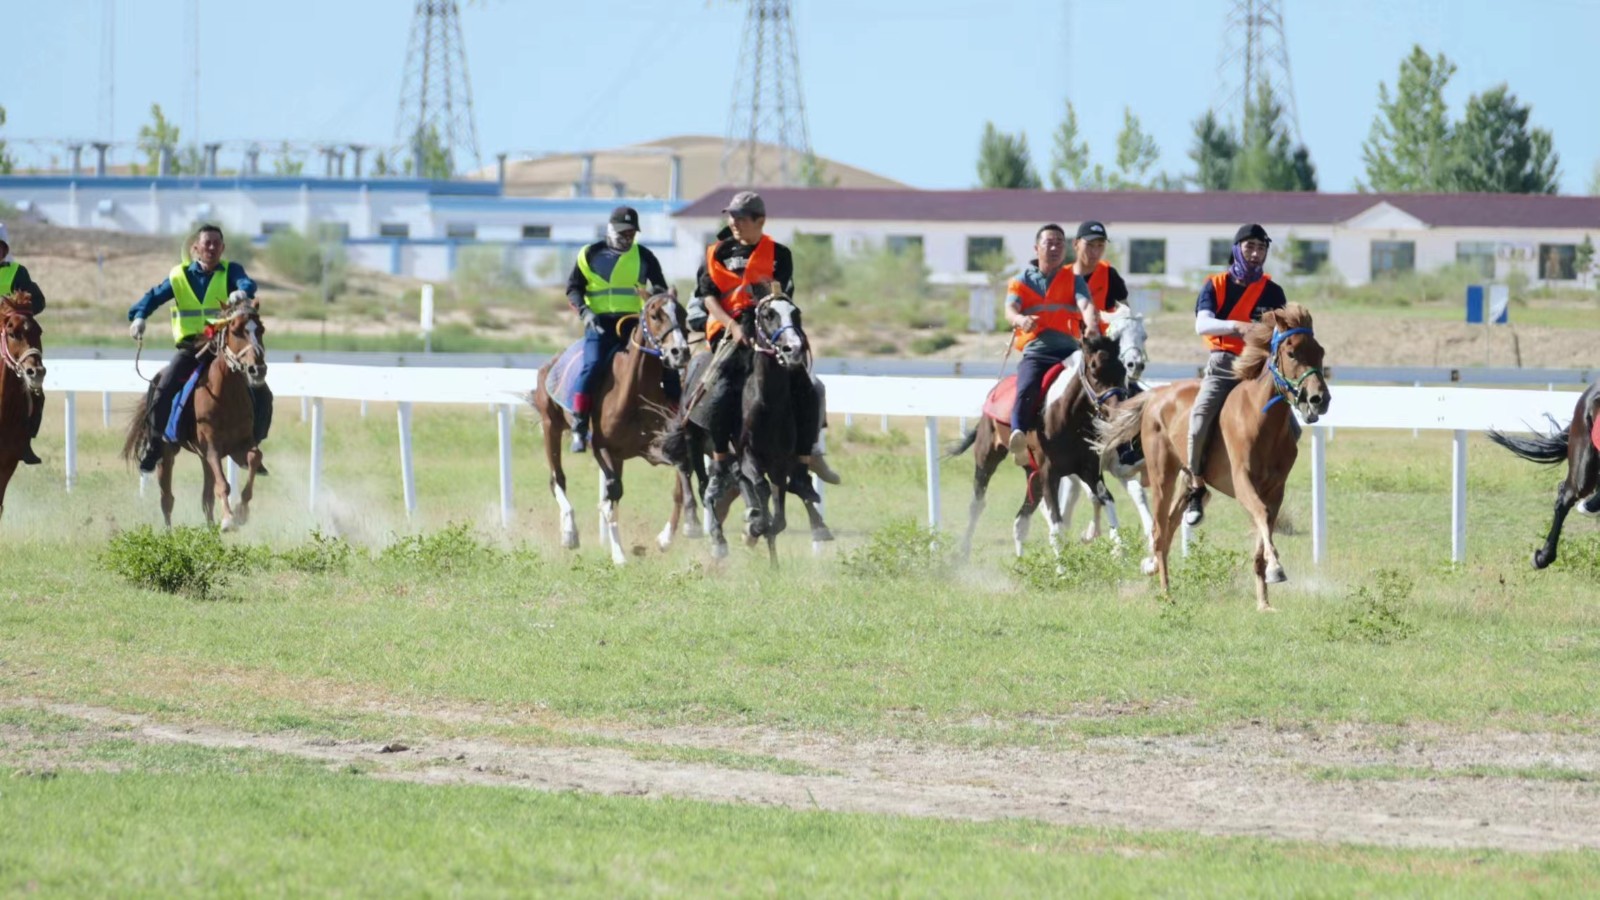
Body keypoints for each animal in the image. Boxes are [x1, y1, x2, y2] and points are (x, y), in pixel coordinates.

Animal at [531, 283, 694, 560]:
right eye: (654, 315)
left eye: (682, 314)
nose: (679, 352)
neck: (634, 391)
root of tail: (551, 362)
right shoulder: (601, 447)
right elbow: (613, 493)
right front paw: (619, 556)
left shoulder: (656, 447)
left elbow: (680, 480)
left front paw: (667, 537)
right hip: (550, 424)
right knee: (557, 479)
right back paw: (569, 533)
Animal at [953, 333, 1132, 557]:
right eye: (1093, 368)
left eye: (1123, 369)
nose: (1119, 412)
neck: (1067, 417)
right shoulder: (1049, 473)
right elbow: (1056, 528)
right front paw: (1063, 565)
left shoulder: (1089, 470)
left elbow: (1107, 501)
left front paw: (1119, 551)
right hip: (987, 458)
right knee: (977, 503)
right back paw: (962, 554)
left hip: (1033, 475)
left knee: (1020, 521)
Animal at [1056, 301, 1158, 566]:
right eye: (1117, 336)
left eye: (1144, 335)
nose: (1135, 365)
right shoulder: (1087, 465)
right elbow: (1095, 495)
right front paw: (1094, 535)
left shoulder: (1120, 467)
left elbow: (1137, 494)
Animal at [1094, 302, 1331, 608]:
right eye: (1291, 353)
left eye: (1320, 351)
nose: (1319, 399)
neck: (1261, 420)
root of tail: (1155, 396)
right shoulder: (1242, 483)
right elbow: (1261, 514)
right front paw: (1277, 568)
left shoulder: (1275, 489)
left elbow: (1264, 526)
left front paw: (1264, 600)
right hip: (1162, 476)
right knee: (1159, 531)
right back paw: (1165, 592)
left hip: (1185, 481)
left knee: (1170, 527)